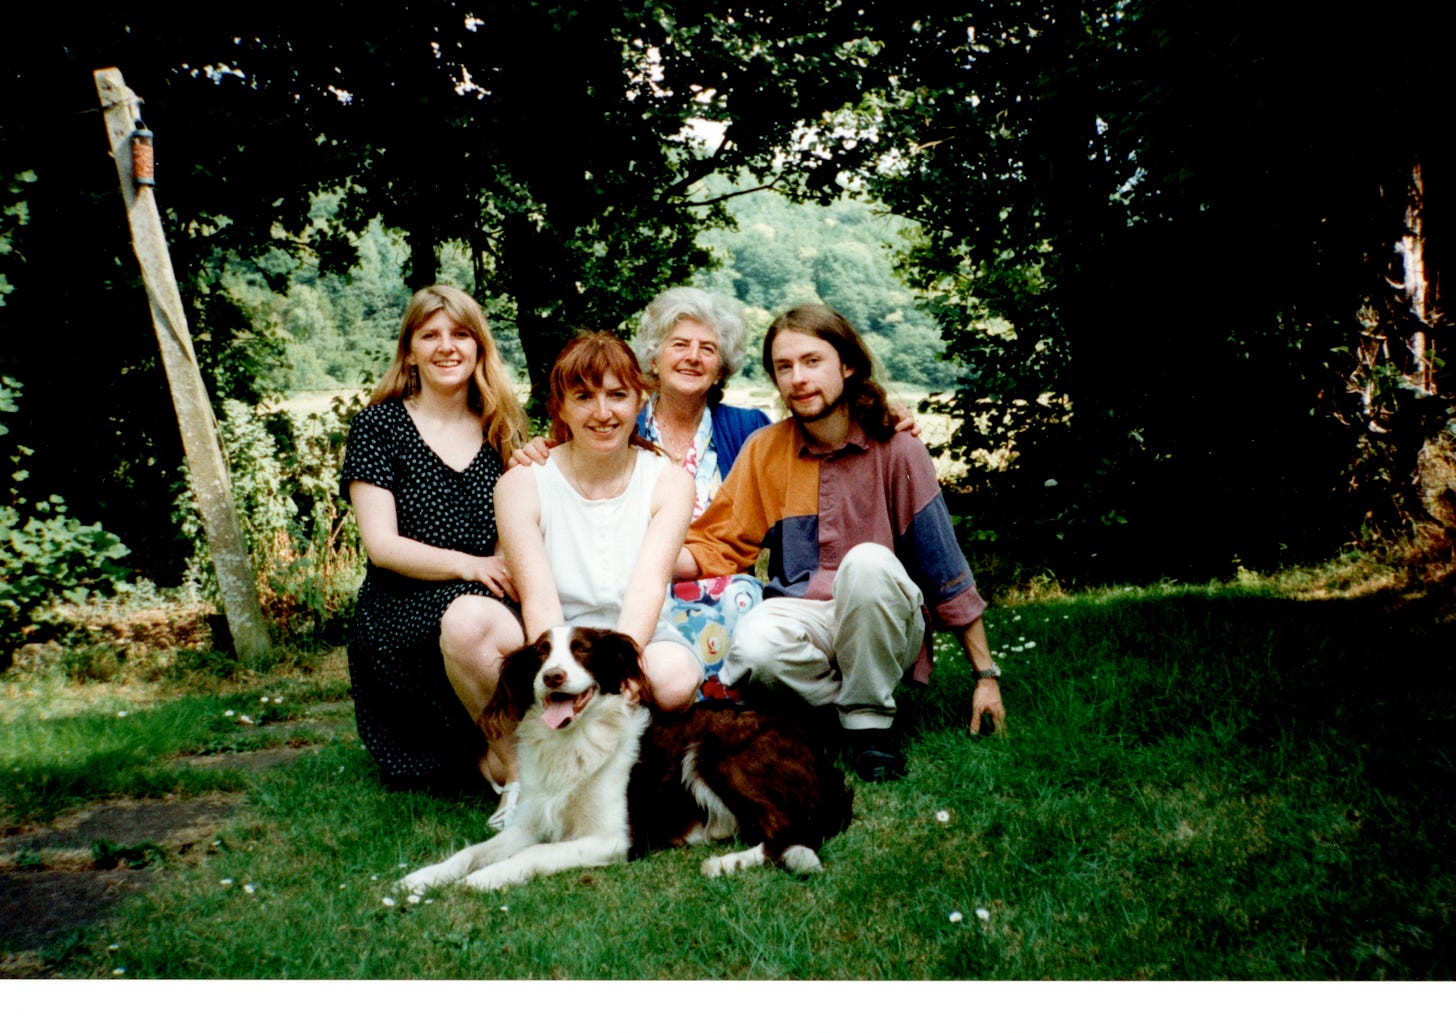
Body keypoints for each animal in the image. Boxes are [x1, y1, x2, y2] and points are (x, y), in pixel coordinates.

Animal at [398, 623, 850, 891]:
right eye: (541, 653)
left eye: (581, 650)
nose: (552, 677)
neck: (574, 742)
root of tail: (827, 766)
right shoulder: (529, 823)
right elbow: (471, 851)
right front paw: (423, 876)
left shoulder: (612, 839)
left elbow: (534, 854)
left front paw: (486, 878)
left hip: (713, 754)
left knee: (794, 833)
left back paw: (725, 864)